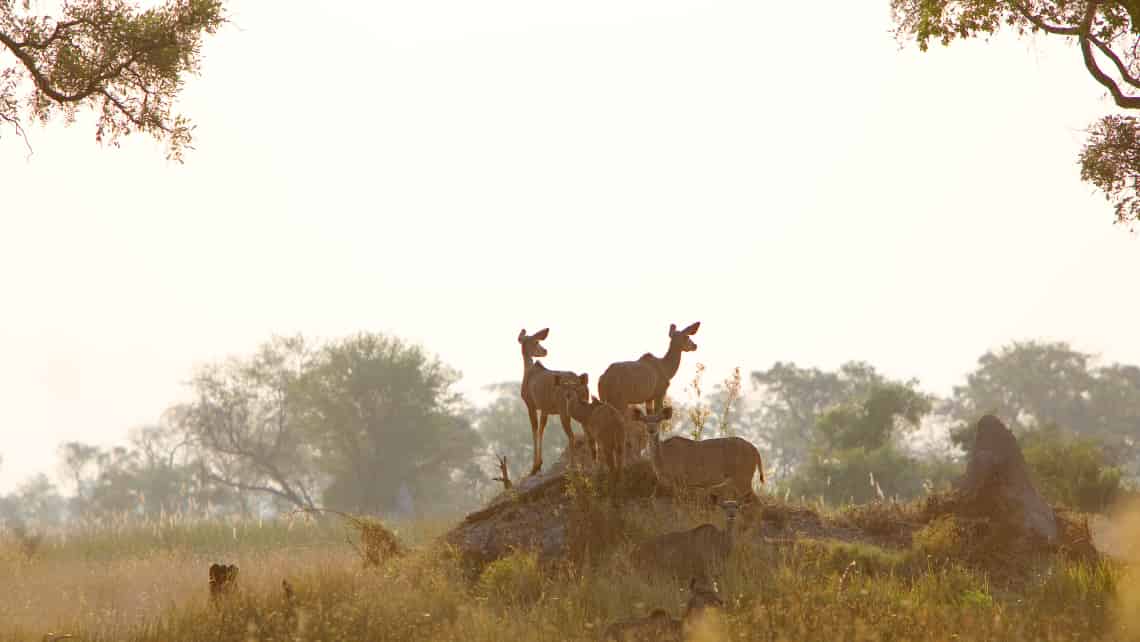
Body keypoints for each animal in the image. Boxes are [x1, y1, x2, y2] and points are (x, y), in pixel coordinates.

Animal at [517, 328, 588, 474]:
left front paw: (535, 466)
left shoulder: (531, 404)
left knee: (572, 436)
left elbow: (535, 430)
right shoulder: (545, 409)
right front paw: (538, 464)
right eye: (536, 341)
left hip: (564, 411)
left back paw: (572, 466)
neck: (528, 373)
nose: (545, 351)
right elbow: (540, 430)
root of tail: (580, 384)